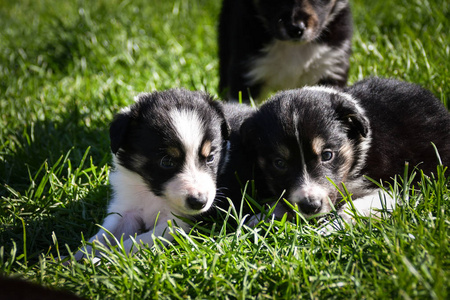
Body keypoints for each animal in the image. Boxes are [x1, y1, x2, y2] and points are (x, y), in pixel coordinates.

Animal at [71, 88, 253, 258]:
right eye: (166, 162)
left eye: (211, 158)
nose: (199, 202)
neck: (153, 194)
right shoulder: (126, 206)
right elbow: (101, 237)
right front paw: (76, 259)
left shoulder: (180, 222)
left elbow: (137, 241)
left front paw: (110, 258)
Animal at [241, 77, 450, 223]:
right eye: (279, 163)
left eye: (327, 155)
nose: (310, 206)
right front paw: (260, 218)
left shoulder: (391, 187)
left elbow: (352, 210)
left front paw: (330, 229)